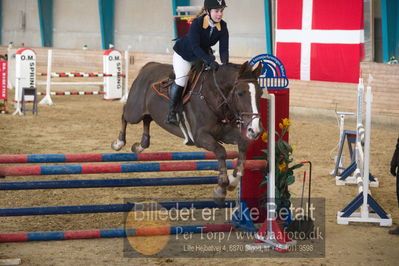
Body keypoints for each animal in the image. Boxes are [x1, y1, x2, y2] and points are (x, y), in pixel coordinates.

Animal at [111, 61, 264, 204]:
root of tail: (149, 66)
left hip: (148, 112)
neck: (213, 96)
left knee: (147, 120)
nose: (255, 130)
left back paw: (140, 145)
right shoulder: (200, 137)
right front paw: (221, 189)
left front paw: (233, 180)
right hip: (135, 112)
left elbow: (243, 144)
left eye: (260, 93)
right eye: (240, 93)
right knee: (125, 115)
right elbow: (221, 151)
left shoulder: (224, 133)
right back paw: (119, 143)